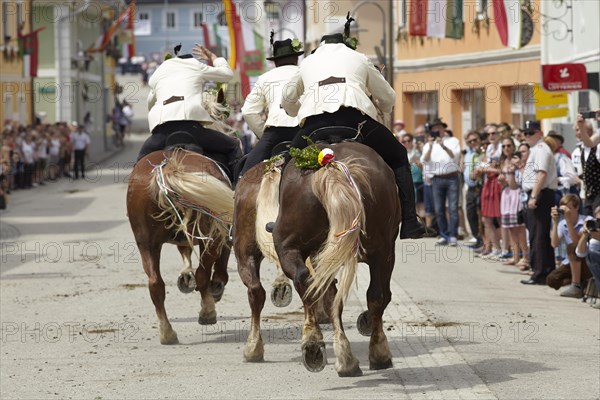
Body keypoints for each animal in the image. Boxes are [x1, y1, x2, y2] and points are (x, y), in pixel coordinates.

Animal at [270, 140, 400, 376]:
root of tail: (329, 167)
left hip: (289, 248)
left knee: (306, 282)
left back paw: (316, 344)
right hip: (382, 253)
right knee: (373, 296)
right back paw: (366, 353)